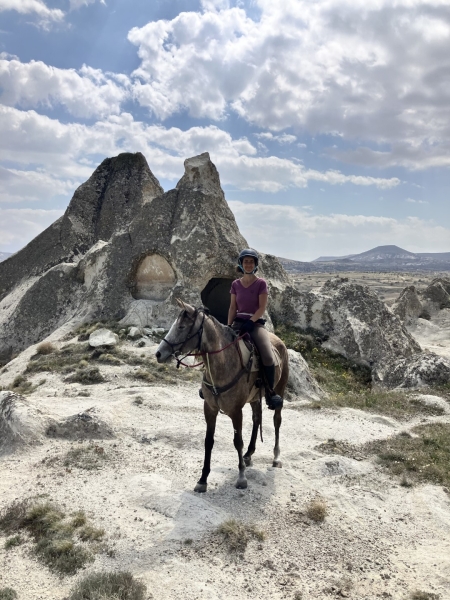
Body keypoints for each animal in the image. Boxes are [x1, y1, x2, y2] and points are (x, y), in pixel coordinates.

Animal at [155, 300, 288, 492]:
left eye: (181, 327)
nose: (158, 353)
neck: (223, 363)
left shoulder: (236, 411)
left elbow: (237, 441)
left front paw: (241, 478)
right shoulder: (209, 408)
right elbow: (208, 441)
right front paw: (203, 479)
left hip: (280, 389)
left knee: (276, 420)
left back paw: (276, 457)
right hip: (255, 397)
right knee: (257, 418)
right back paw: (249, 454)